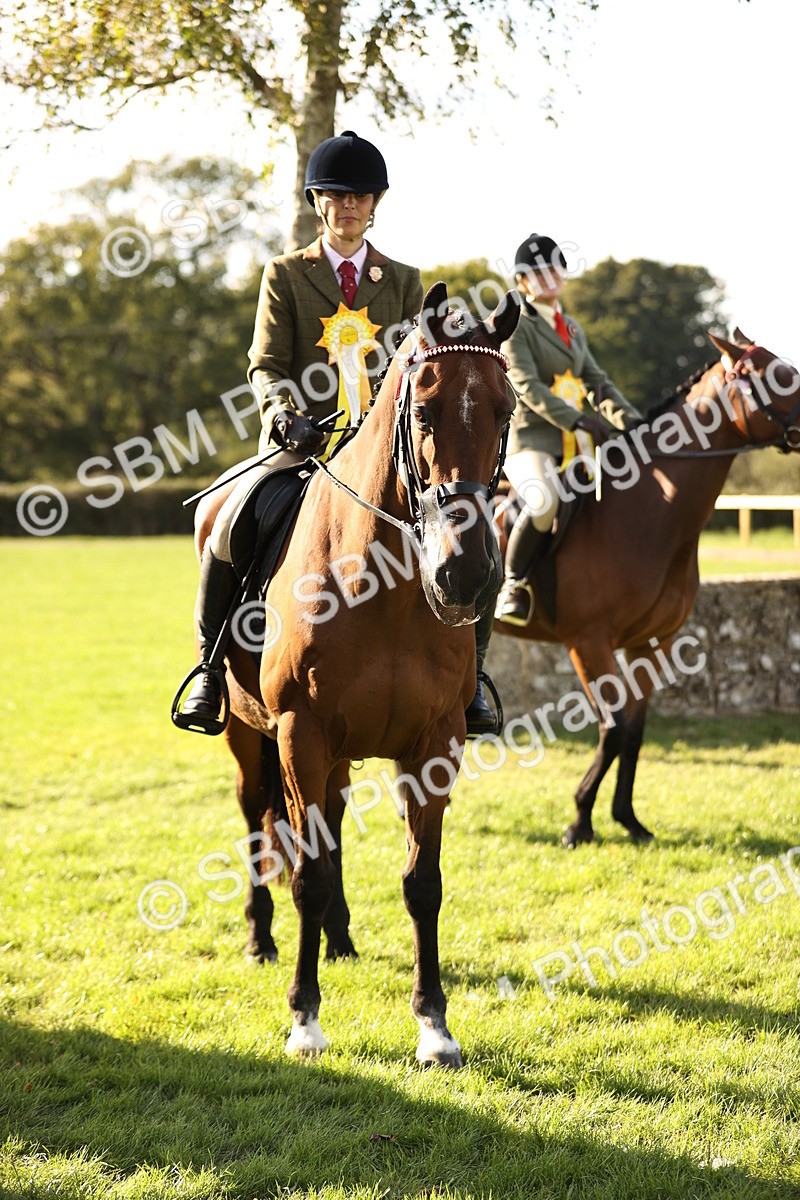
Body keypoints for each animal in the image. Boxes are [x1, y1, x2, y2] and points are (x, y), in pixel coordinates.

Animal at [201, 282, 519, 1066]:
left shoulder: (434, 744)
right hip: (252, 737)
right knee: (257, 818)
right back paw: (260, 938)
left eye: (506, 412)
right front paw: (305, 1020)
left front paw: (434, 1027)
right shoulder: (299, 733)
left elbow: (422, 882)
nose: (465, 574)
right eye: (425, 410)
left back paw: (341, 939)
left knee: (332, 820)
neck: (383, 588)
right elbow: (307, 876)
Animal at [493, 331, 800, 849]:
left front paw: (628, 820)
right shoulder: (588, 642)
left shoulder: (650, 643)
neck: (649, 514)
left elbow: (634, 732)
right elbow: (613, 728)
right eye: (777, 374)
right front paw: (579, 822)